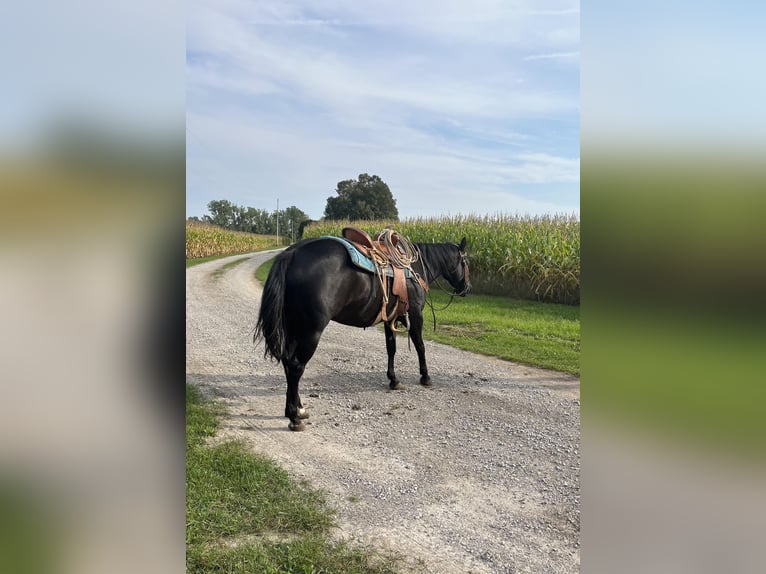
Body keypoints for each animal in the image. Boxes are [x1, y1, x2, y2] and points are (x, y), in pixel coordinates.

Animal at [255, 236, 472, 430]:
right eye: (465, 262)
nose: (467, 288)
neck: (416, 268)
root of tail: (291, 254)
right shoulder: (415, 314)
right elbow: (420, 346)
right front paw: (425, 377)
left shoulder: (390, 319)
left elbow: (391, 349)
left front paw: (394, 380)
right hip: (310, 331)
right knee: (296, 366)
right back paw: (294, 417)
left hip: (294, 327)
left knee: (287, 362)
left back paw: (298, 409)